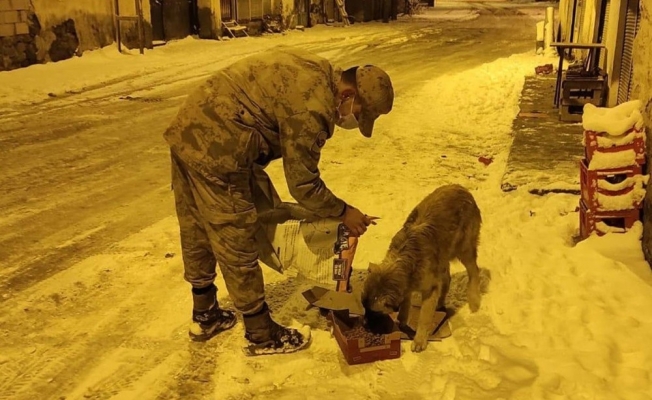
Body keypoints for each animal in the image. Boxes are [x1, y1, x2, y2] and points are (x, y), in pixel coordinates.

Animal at [360, 184, 482, 354]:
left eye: (375, 312)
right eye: (364, 307)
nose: (364, 325)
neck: (404, 260)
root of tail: (462, 188)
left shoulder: (429, 289)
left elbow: (424, 317)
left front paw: (419, 340)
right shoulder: (408, 286)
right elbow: (405, 306)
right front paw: (402, 323)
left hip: (464, 250)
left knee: (474, 272)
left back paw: (474, 300)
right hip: (444, 256)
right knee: (447, 278)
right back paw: (441, 302)